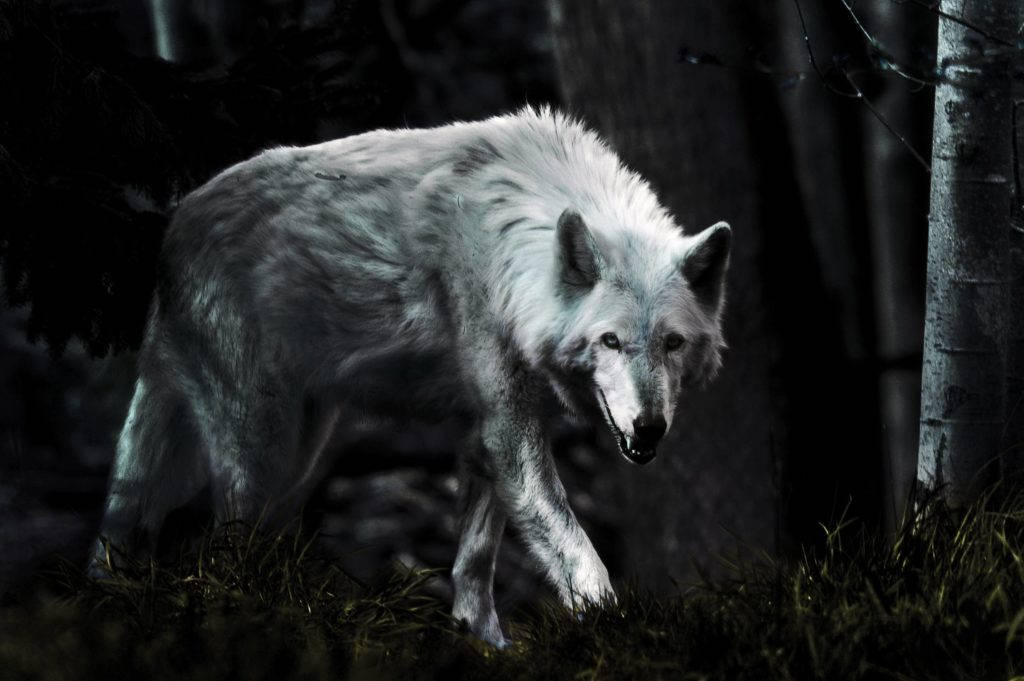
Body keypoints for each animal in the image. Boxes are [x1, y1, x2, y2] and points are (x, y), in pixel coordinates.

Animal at [91, 107, 731, 647]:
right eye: (610, 341)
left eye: (672, 343)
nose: (648, 429)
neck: (513, 248)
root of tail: (174, 228)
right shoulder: (510, 435)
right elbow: (579, 554)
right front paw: (614, 635)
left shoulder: (486, 438)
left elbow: (473, 568)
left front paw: (482, 645)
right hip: (259, 454)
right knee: (220, 549)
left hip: (304, 457)